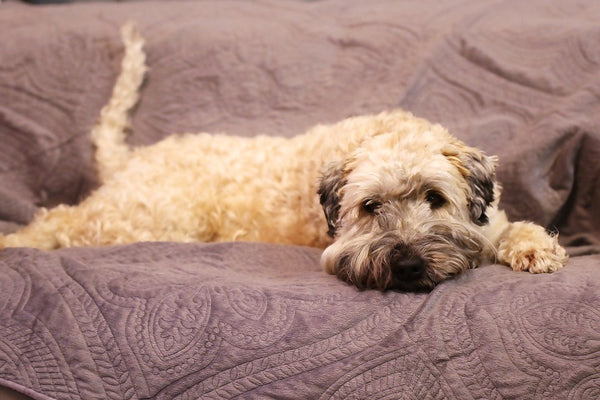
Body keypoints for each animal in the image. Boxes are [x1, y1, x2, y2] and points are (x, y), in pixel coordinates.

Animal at [0, 24, 568, 290]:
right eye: (369, 208)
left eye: (435, 198)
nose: (407, 265)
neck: (387, 130)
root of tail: (131, 159)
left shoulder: (487, 218)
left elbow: (512, 229)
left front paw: (536, 248)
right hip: (145, 219)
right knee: (59, 219)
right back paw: (15, 242)